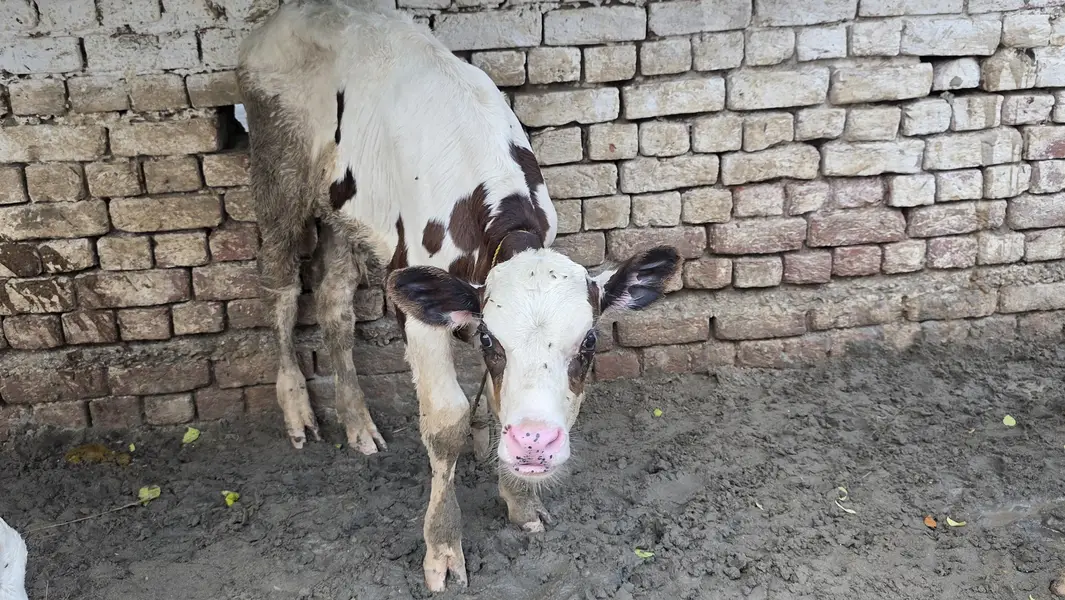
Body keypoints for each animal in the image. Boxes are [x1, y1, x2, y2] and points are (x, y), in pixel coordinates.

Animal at [236, 0, 681, 591]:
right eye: (491, 339)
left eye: (588, 344)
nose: (533, 443)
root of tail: (289, 15)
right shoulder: (419, 307)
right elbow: (444, 423)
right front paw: (443, 547)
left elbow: (494, 400)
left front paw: (518, 499)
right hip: (277, 167)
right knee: (281, 286)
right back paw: (297, 409)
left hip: (346, 210)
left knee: (333, 304)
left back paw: (357, 423)